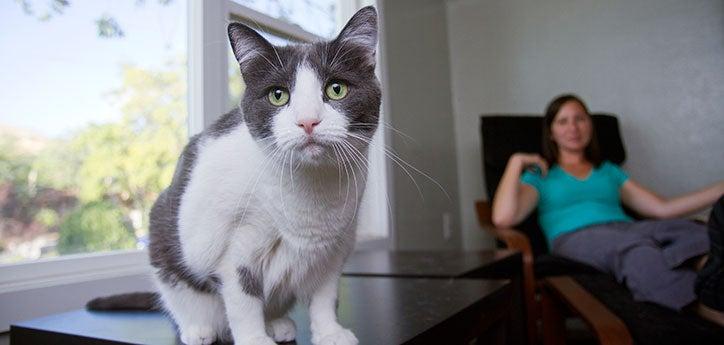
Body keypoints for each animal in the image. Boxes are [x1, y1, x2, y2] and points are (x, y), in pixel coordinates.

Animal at [88, 6, 382, 344]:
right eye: (278, 96)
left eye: (336, 89)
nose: (308, 121)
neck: (309, 190)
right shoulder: (234, 246)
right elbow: (243, 298)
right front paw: (254, 339)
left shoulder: (334, 247)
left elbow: (325, 294)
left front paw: (330, 332)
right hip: (165, 233)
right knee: (179, 296)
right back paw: (198, 329)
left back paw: (277, 323)